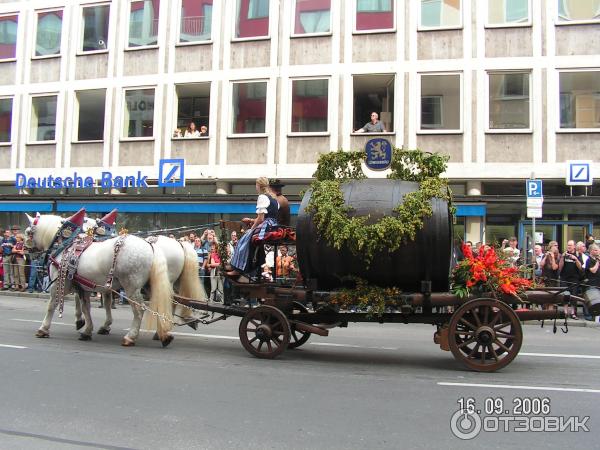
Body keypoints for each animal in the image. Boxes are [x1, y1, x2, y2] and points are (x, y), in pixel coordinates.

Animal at [27, 213, 175, 346]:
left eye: (28, 232)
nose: (28, 251)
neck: (65, 245)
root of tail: (150, 245)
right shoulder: (83, 287)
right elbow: (86, 308)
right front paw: (87, 330)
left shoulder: (59, 283)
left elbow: (52, 305)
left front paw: (43, 329)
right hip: (149, 286)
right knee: (161, 304)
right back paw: (164, 335)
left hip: (131, 287)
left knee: (139, 310)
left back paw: (130, 337)